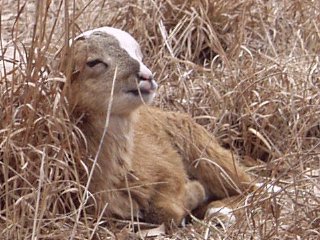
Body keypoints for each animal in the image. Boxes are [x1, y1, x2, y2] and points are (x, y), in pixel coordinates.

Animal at [67, 26, 252, 227]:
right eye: (93, 62)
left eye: (139, 55)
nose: (147, 77)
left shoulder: (170, 170)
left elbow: (166, 211)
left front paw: (196, 193)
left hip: (207, 155)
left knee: (251, 186)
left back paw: (222, 211)